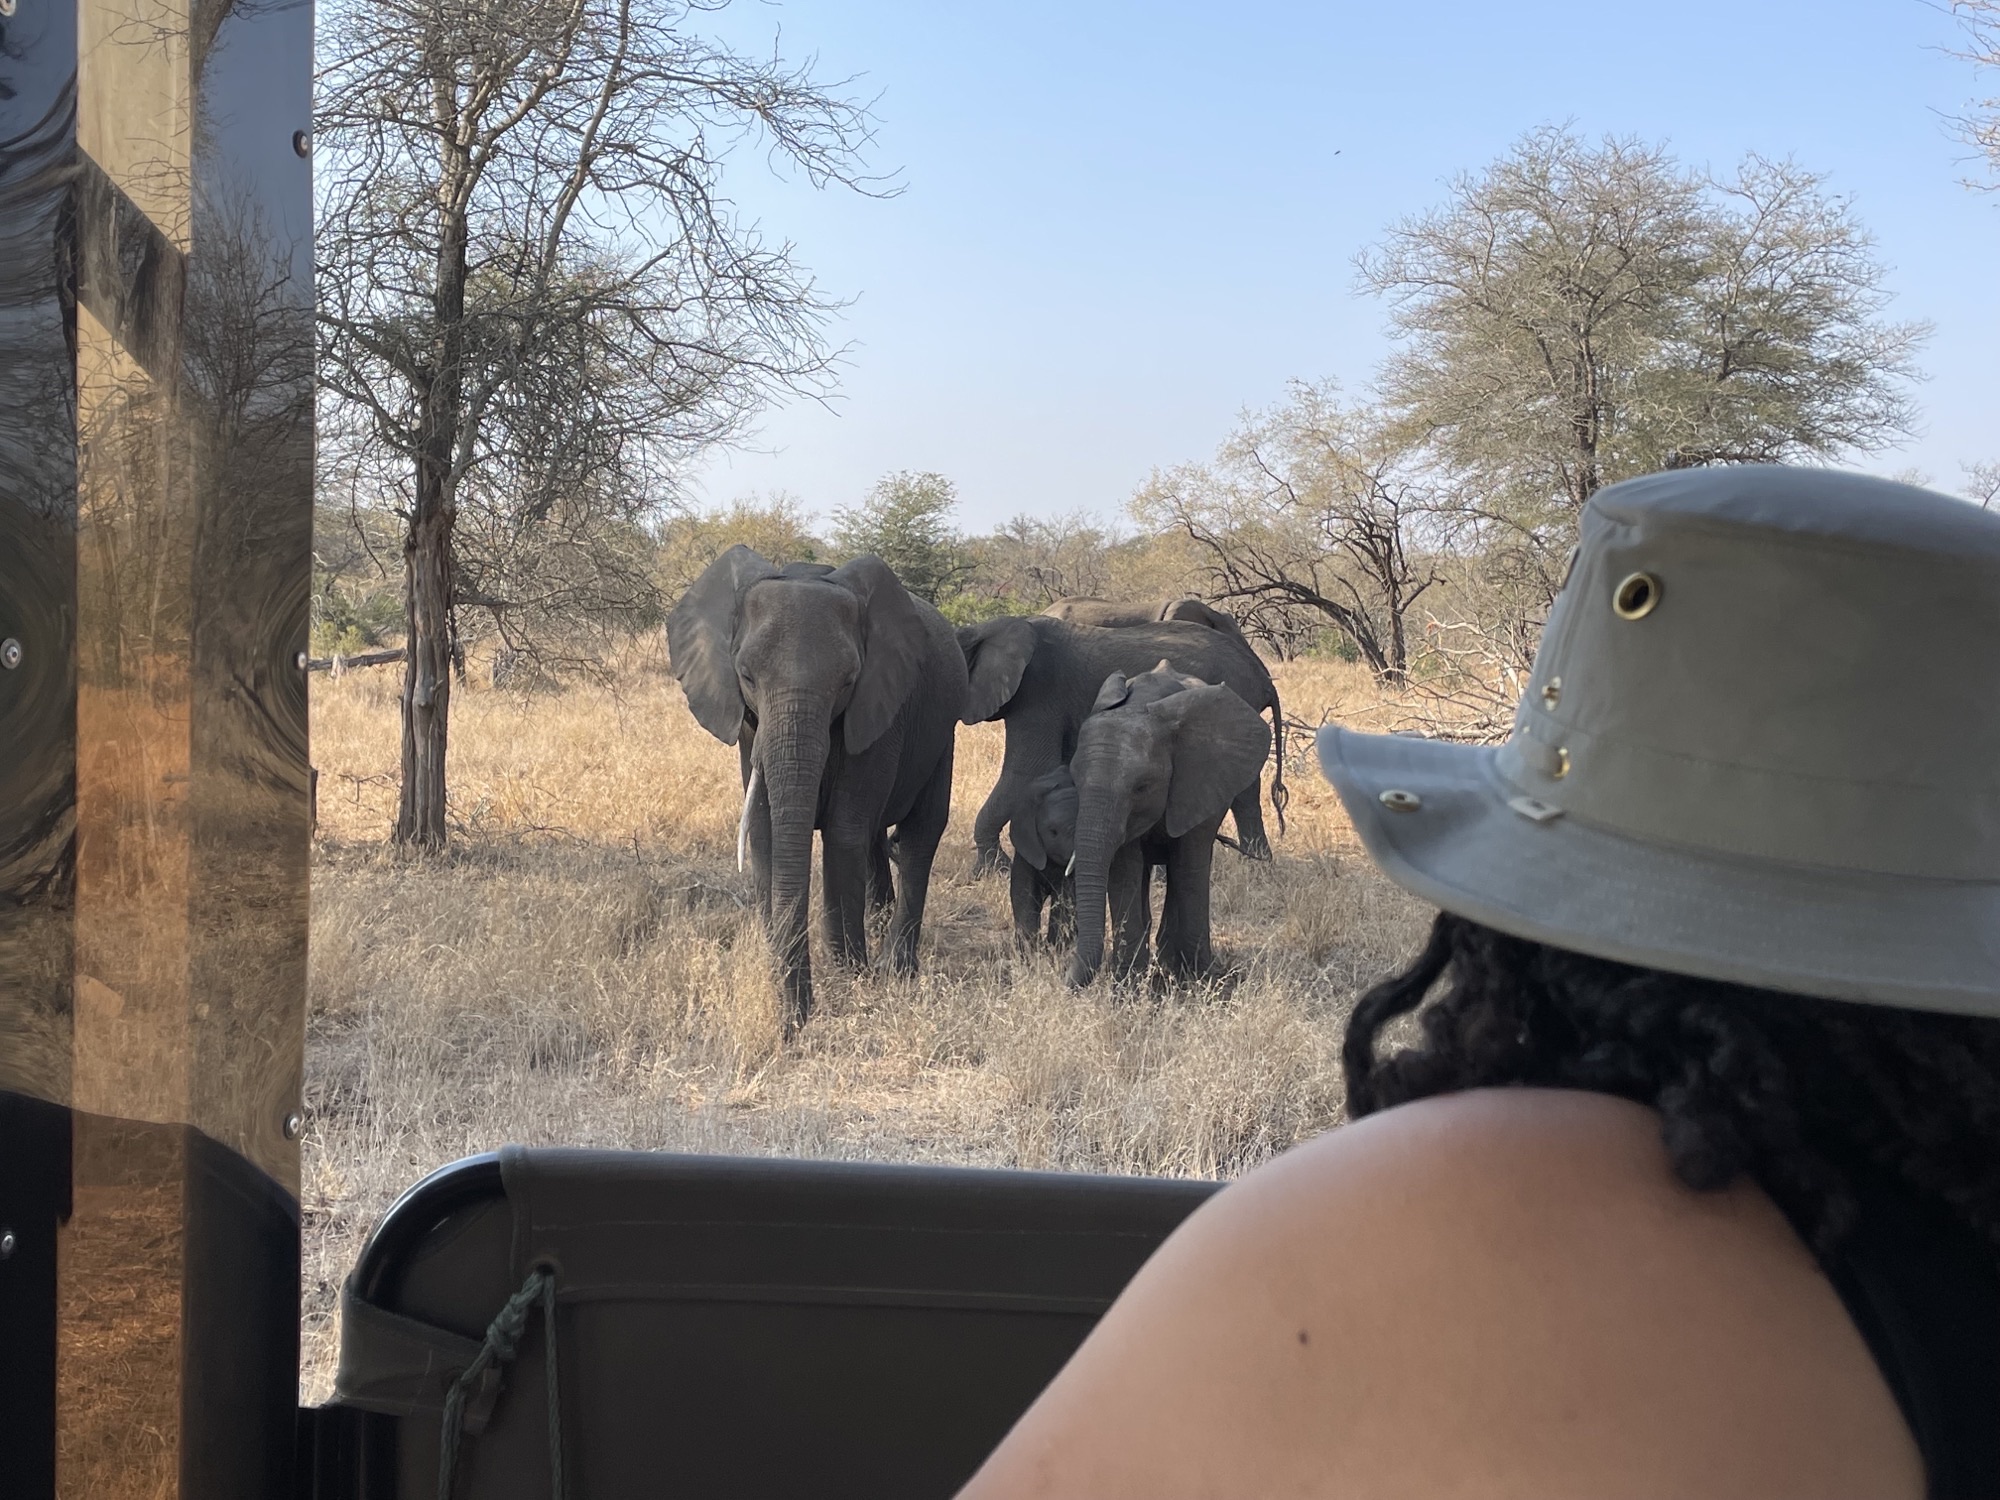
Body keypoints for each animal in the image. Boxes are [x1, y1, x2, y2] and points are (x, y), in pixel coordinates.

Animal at [668, 545, 967, 1029]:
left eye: (847, 681)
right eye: (746, 676)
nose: (793, 1027)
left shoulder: (881, 706)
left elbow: (843, 832)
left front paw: (851, 974)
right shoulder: (749, 726)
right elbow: (766, 834)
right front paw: (776, 963)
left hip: (943, 730)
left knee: (920, 834)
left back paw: (895, 967)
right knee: (875, 837)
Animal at [957, 614, 1287, 873]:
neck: (984, 629)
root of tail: (1262, 676)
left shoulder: (1039, 691)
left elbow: (1028, 770)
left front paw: (991, 871)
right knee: (1245, 788)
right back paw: (1258, 864)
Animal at [1006, 764, 1079, 948]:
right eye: (1053, 832)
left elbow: (1066, 898)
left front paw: (1054, 948)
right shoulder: (1027, 847)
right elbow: (1024, 892)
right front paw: (1029, 949)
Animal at [1064, 664, 1272, 989]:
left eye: (1142, 787)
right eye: (1074, 781)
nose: (1065, 980)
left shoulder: (1199, 782)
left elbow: (1188, 863)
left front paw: (1201, 980)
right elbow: (1125, 870)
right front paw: (1127, 986)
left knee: (1186, 868)